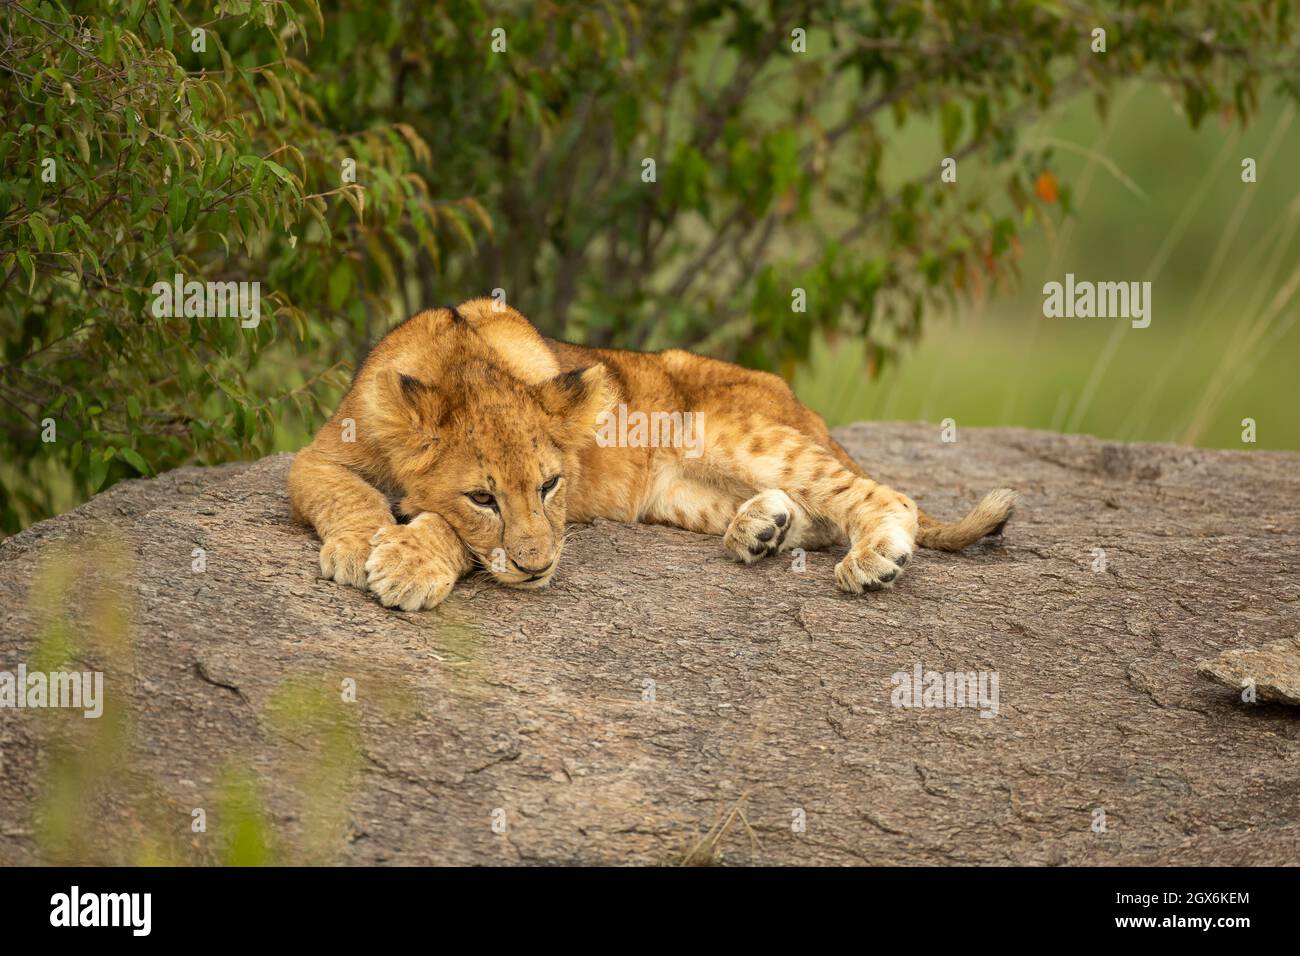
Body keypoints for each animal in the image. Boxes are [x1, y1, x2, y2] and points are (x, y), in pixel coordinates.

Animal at [287, 298, 1015, 610]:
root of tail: (800, 402)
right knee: (816, 514)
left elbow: (444, 528)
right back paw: (761, 530)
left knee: (887, 497)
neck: (461, 362)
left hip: (727, 430)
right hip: (681, 495)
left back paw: (874, 560)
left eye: (551, 486)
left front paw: (405, 562)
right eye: (483, 496)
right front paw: (360, 545)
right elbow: (345, 492)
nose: (538, 568)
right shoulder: (314, 456)